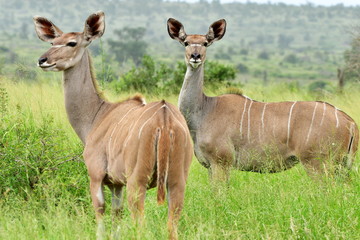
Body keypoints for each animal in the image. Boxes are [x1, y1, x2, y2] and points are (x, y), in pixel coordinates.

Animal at [33, 11, 194, 240]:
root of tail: (164, 121)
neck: (97, 115)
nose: (42, 60)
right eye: (53, 42)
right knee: (172, 227)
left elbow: (100, 214)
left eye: (72, 43)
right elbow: (117, 215)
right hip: (177, 182)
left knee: (140, 225)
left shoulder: (96, 176)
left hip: (137, 183)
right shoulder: (117, 184)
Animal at [167, 17, 358, 181]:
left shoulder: (221, 162)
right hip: (339, 166)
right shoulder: (211, 166)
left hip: (317, 162)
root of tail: (350, 122)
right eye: (186, 42)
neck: (204, 110)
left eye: (205, 43)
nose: (195, 56)